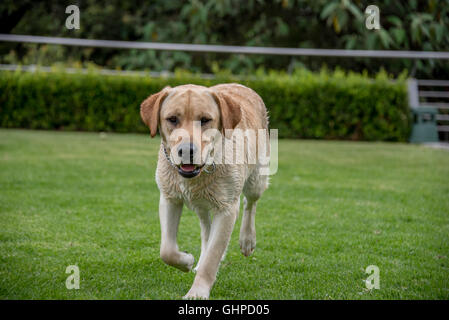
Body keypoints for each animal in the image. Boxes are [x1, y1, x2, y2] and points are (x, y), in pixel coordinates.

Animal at [139, 83, 270, 300]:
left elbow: (212, 257)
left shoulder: (226, 209)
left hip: (256, 181)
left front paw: (198, 292)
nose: (187, 151)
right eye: (172, 119)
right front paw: (186, 261)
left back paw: (247, 240)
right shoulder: (169, 198)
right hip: (201, 204)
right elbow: (167, 250)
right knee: (206, 228)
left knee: (250, 204)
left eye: (205, 120)